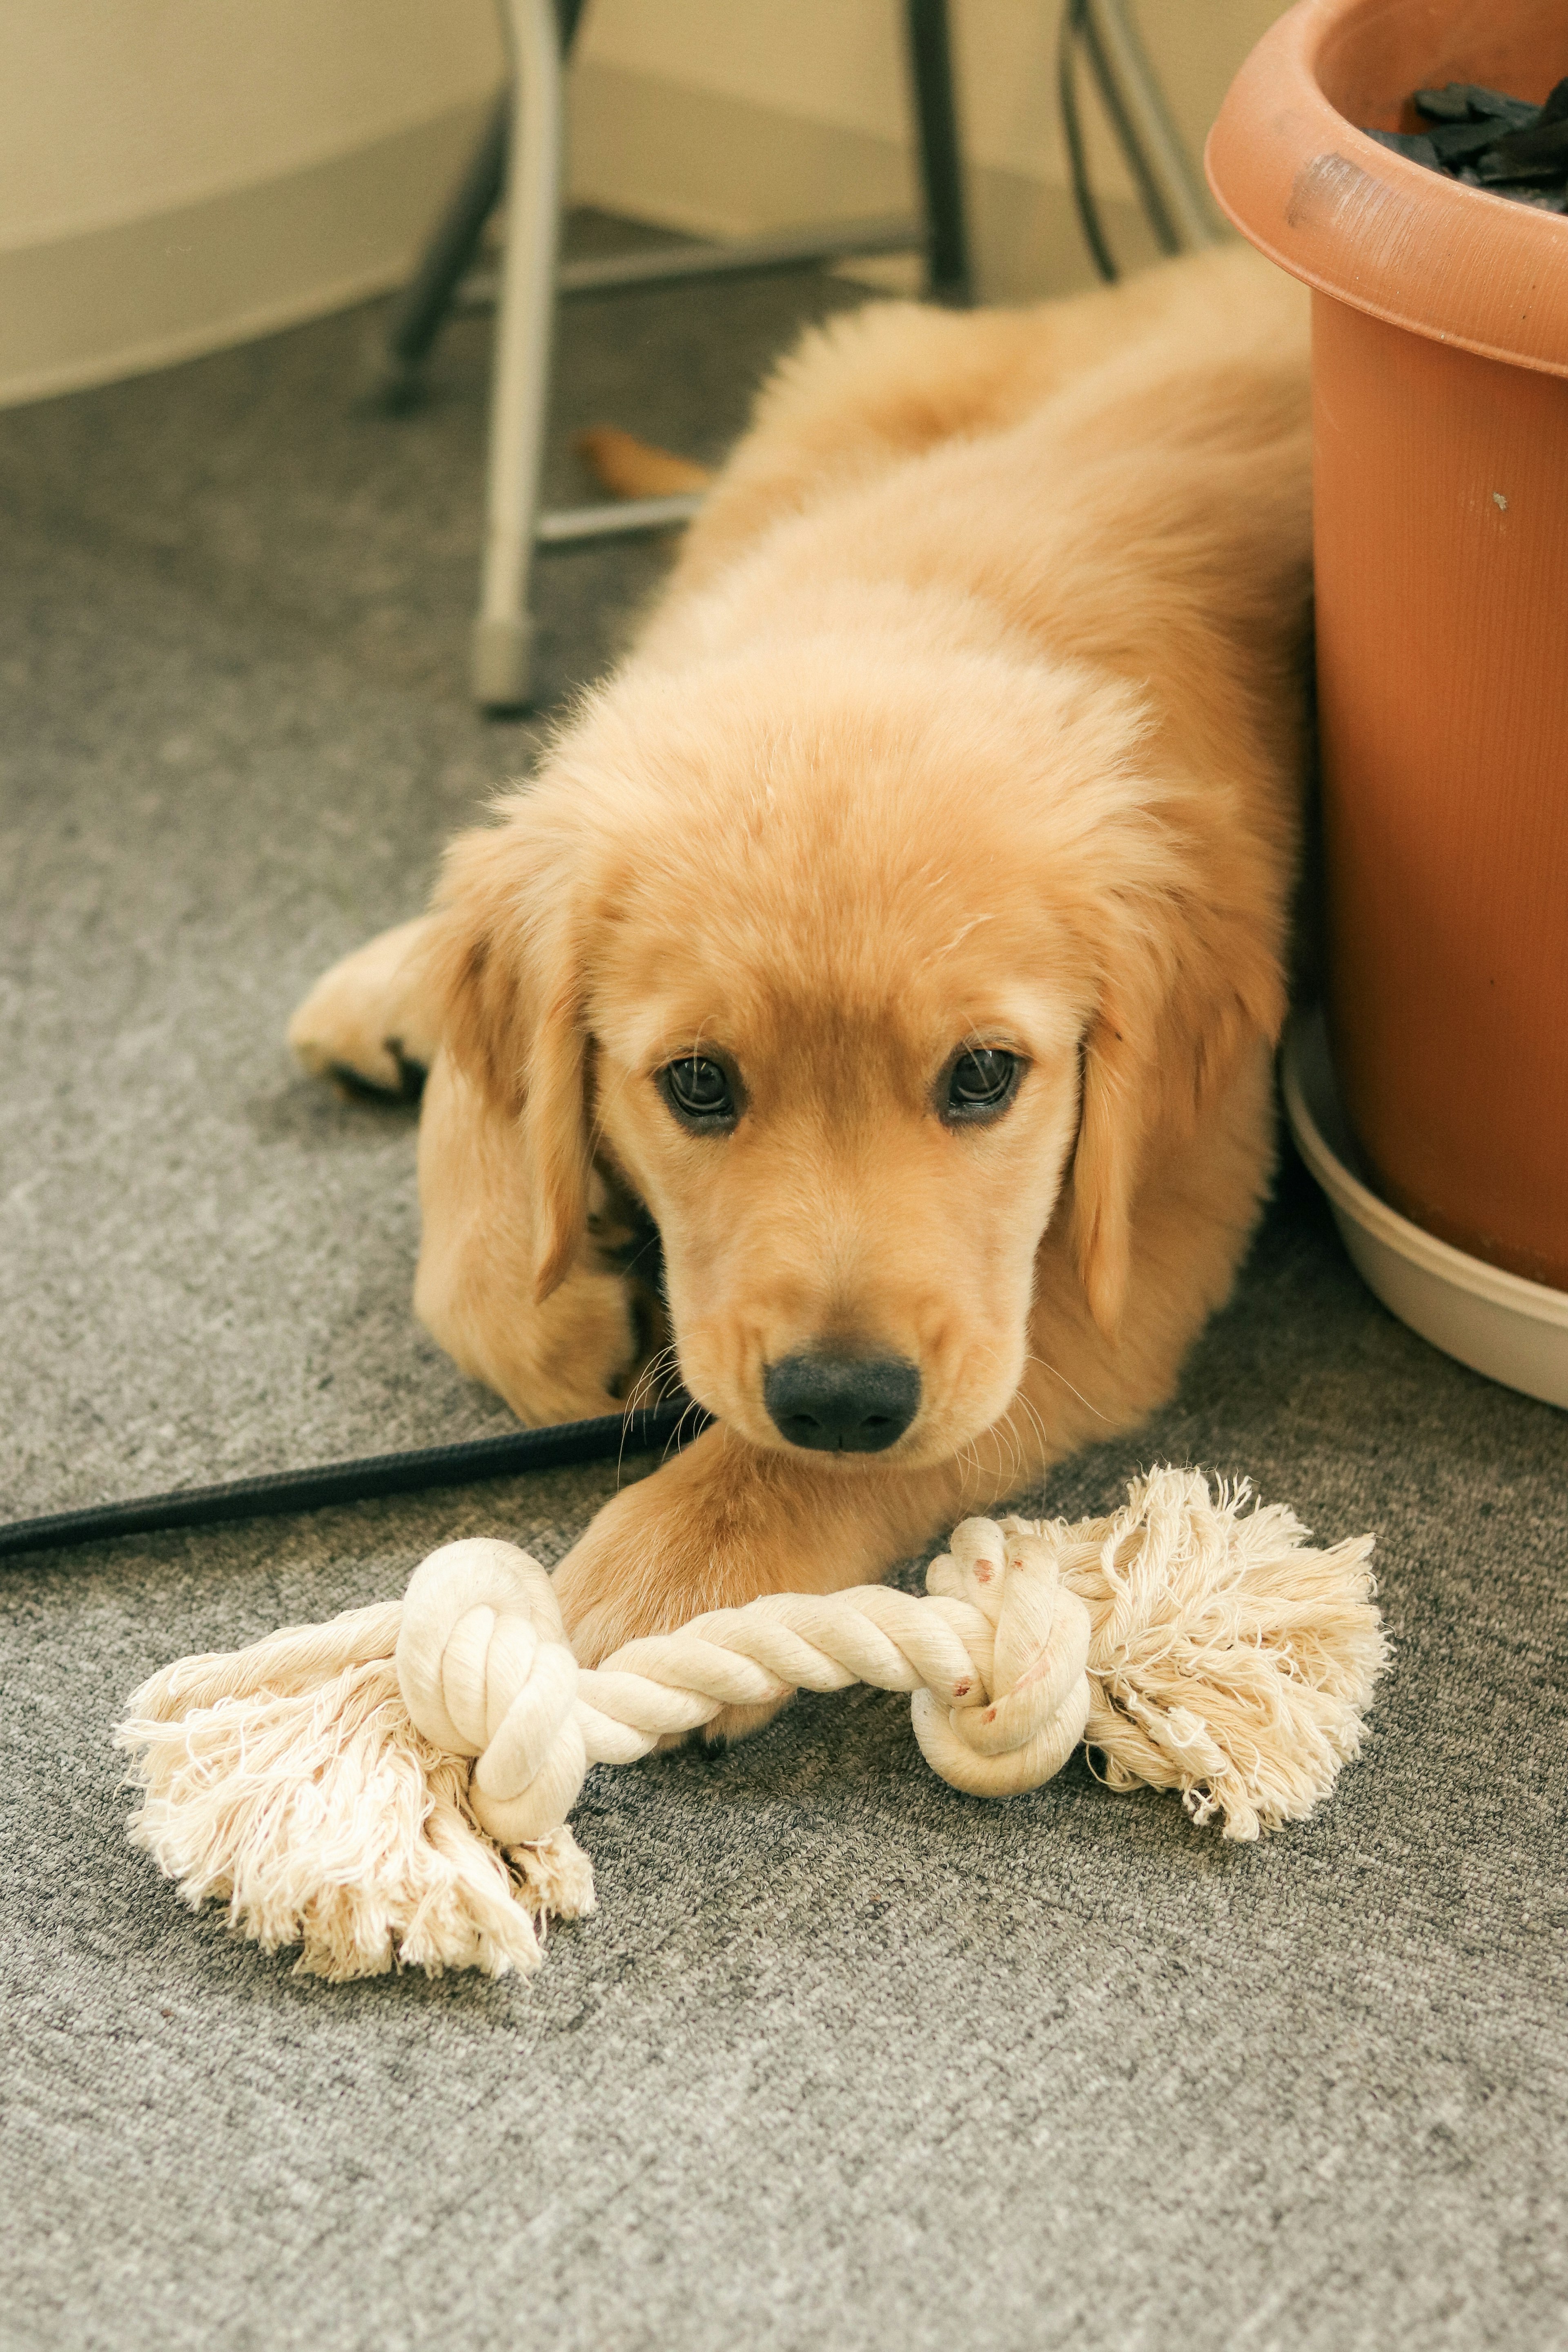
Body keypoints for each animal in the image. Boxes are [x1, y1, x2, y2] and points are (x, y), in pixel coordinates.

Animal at [291, 248, 1316, 1703]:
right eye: (697, 1085)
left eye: (985, 1076)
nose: (840, 1399)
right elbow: (491, 1149)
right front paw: (544, 1298)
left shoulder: (1165, 1207)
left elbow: (923, 1413)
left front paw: (672, 1573)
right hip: (822, 411)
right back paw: (394, 980)